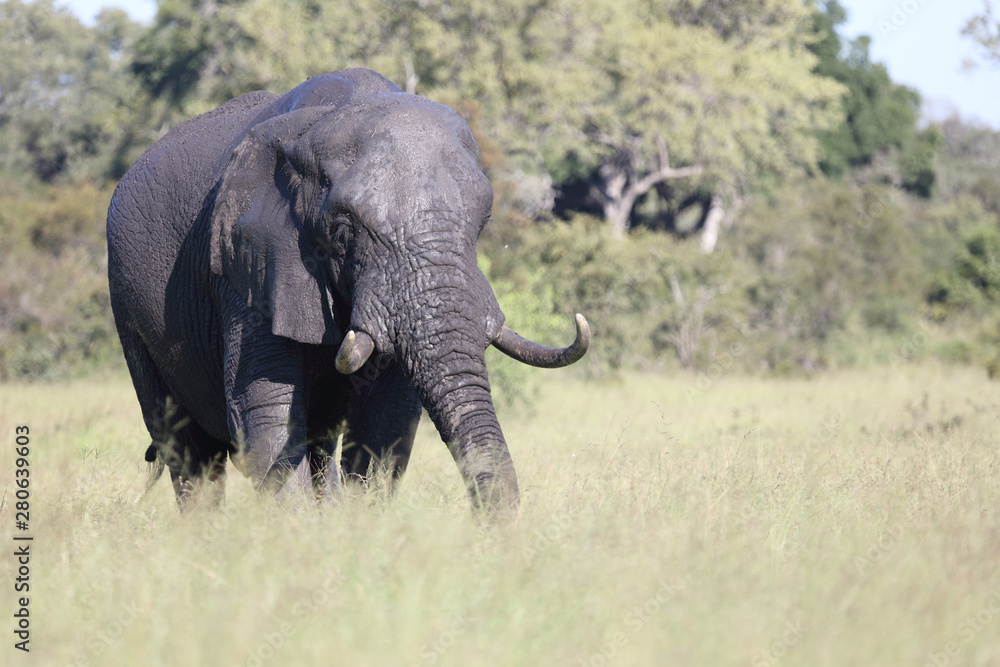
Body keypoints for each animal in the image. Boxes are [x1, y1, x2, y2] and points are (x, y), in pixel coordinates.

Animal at [107, 68, 589, 512]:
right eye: (342, 232)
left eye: (482, 223)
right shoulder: (246, 264)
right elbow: (264, 412)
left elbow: (386, 421)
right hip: (128, 309)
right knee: (185, 449)